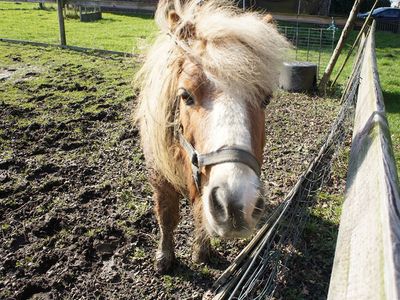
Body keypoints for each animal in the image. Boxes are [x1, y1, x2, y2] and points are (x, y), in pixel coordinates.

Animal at [134, 0, 288, 274]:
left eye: (266, 99)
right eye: (185, 95)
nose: (237, 205)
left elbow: (200, 214)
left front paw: (202, 252)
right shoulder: (160, 177)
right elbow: (167, 216)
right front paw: (165, 257)